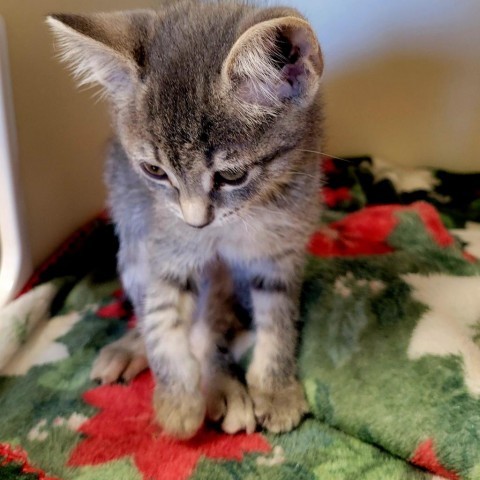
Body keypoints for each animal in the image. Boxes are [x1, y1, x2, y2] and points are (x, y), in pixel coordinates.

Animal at [47, 0, 324, 438]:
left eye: (232, 176)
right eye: (154, 171)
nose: (197, 222)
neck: (239, 221)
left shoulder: (282, 251)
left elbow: (277, 316)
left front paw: (276, 388)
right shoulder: (167, 246)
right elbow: (163, 317)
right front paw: (178, 397)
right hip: (133, 241)